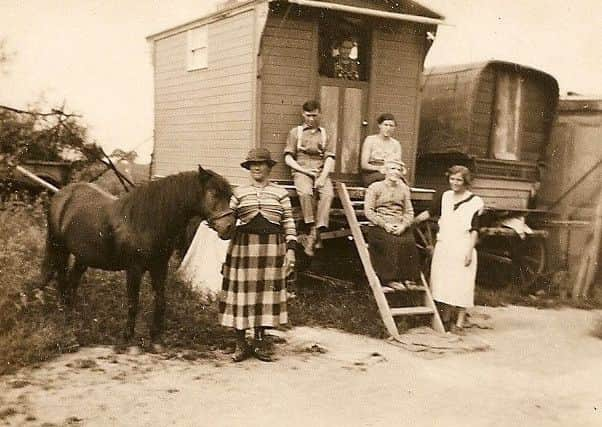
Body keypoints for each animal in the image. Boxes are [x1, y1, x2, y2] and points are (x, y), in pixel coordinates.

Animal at [41, 166, 234, 342]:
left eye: (230, 196)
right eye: (213, 193)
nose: (228, 228)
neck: (148, 221)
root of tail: (62, 194)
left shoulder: (159, 267)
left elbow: (161, 301)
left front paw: (156, 336)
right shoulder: (134, 269)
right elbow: (133, 302)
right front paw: (128, 335)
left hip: (83, 257)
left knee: (72, 282)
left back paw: (71, 314)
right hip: (59, 248)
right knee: (57, 276)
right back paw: (59, 313)